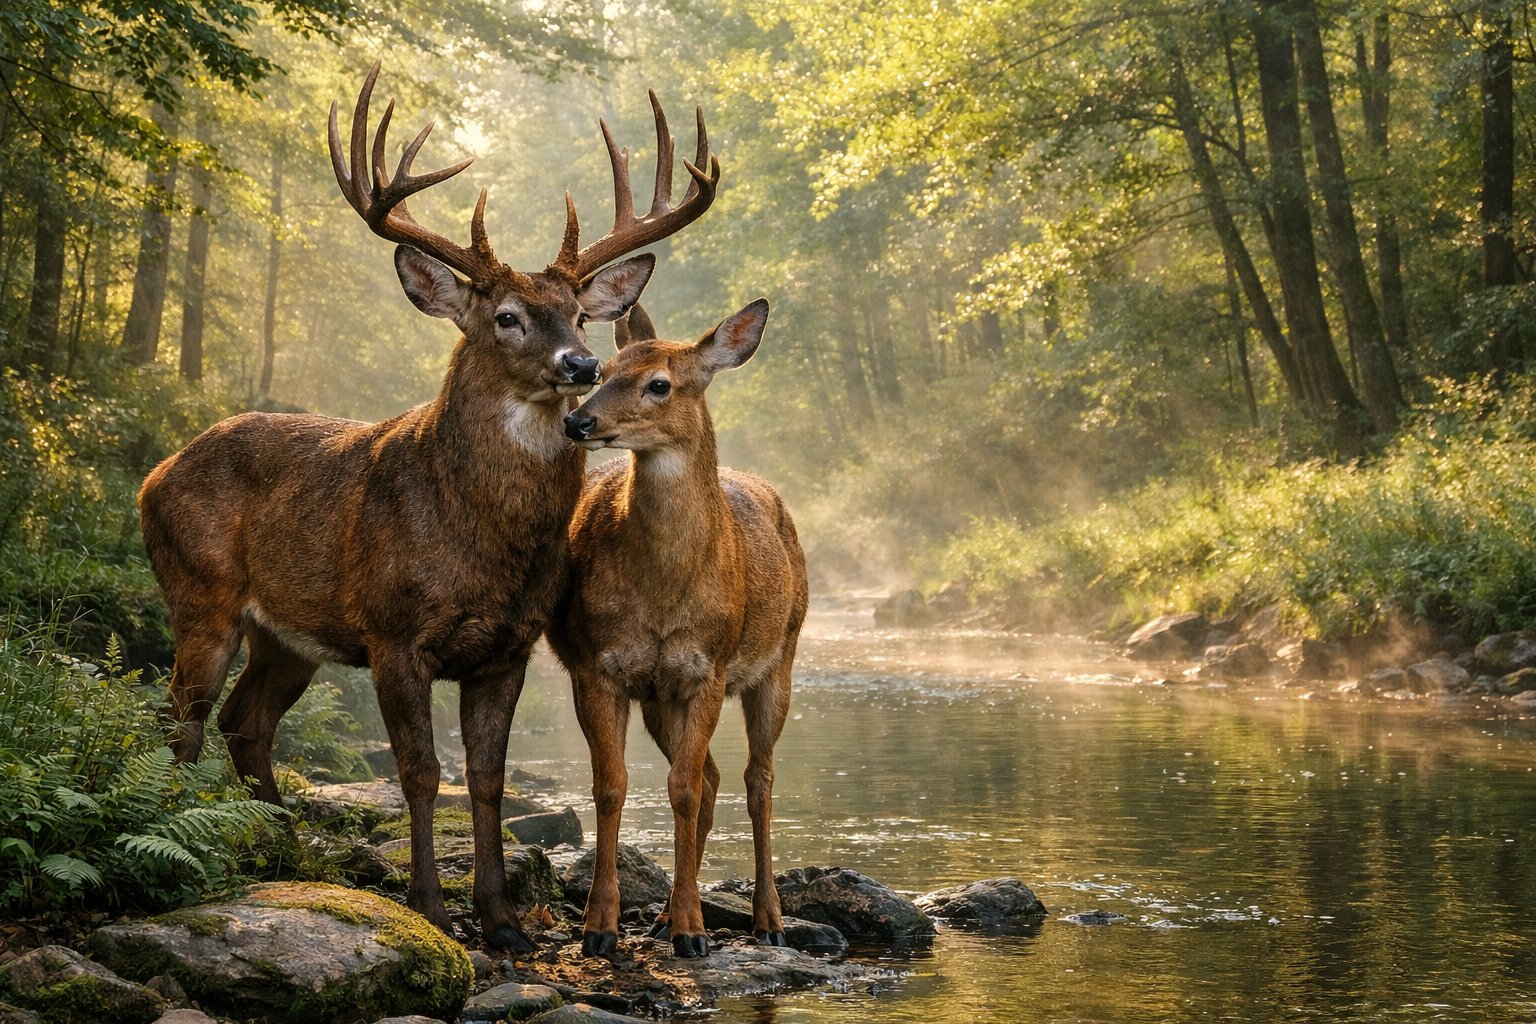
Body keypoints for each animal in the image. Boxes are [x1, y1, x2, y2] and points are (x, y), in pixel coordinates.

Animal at [136, 62, 720, 952]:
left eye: (579, 314)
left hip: (290, 636)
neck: (474, 538)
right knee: (183, 717)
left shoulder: (508, 646)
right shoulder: (392, 631)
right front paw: (433, 909)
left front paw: (503, 920)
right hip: (199, 594)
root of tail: (154, 474)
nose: (582, 364)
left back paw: (278, 841)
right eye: (506, 316)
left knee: (246, 721)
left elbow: (485, 778)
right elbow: (421, 771)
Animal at [547, 299, 808, 958]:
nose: (578, 422)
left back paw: (768, 919)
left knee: (757, 779)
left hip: (781, 659)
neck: (664, 594)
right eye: (604, 368)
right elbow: (613, 786)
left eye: (659, 384)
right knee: (713, 778)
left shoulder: (707, 668)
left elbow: (682, 790)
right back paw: (666, 916)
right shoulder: (598, 666)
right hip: (659, 698)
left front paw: (694, 932)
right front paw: (600, 927)